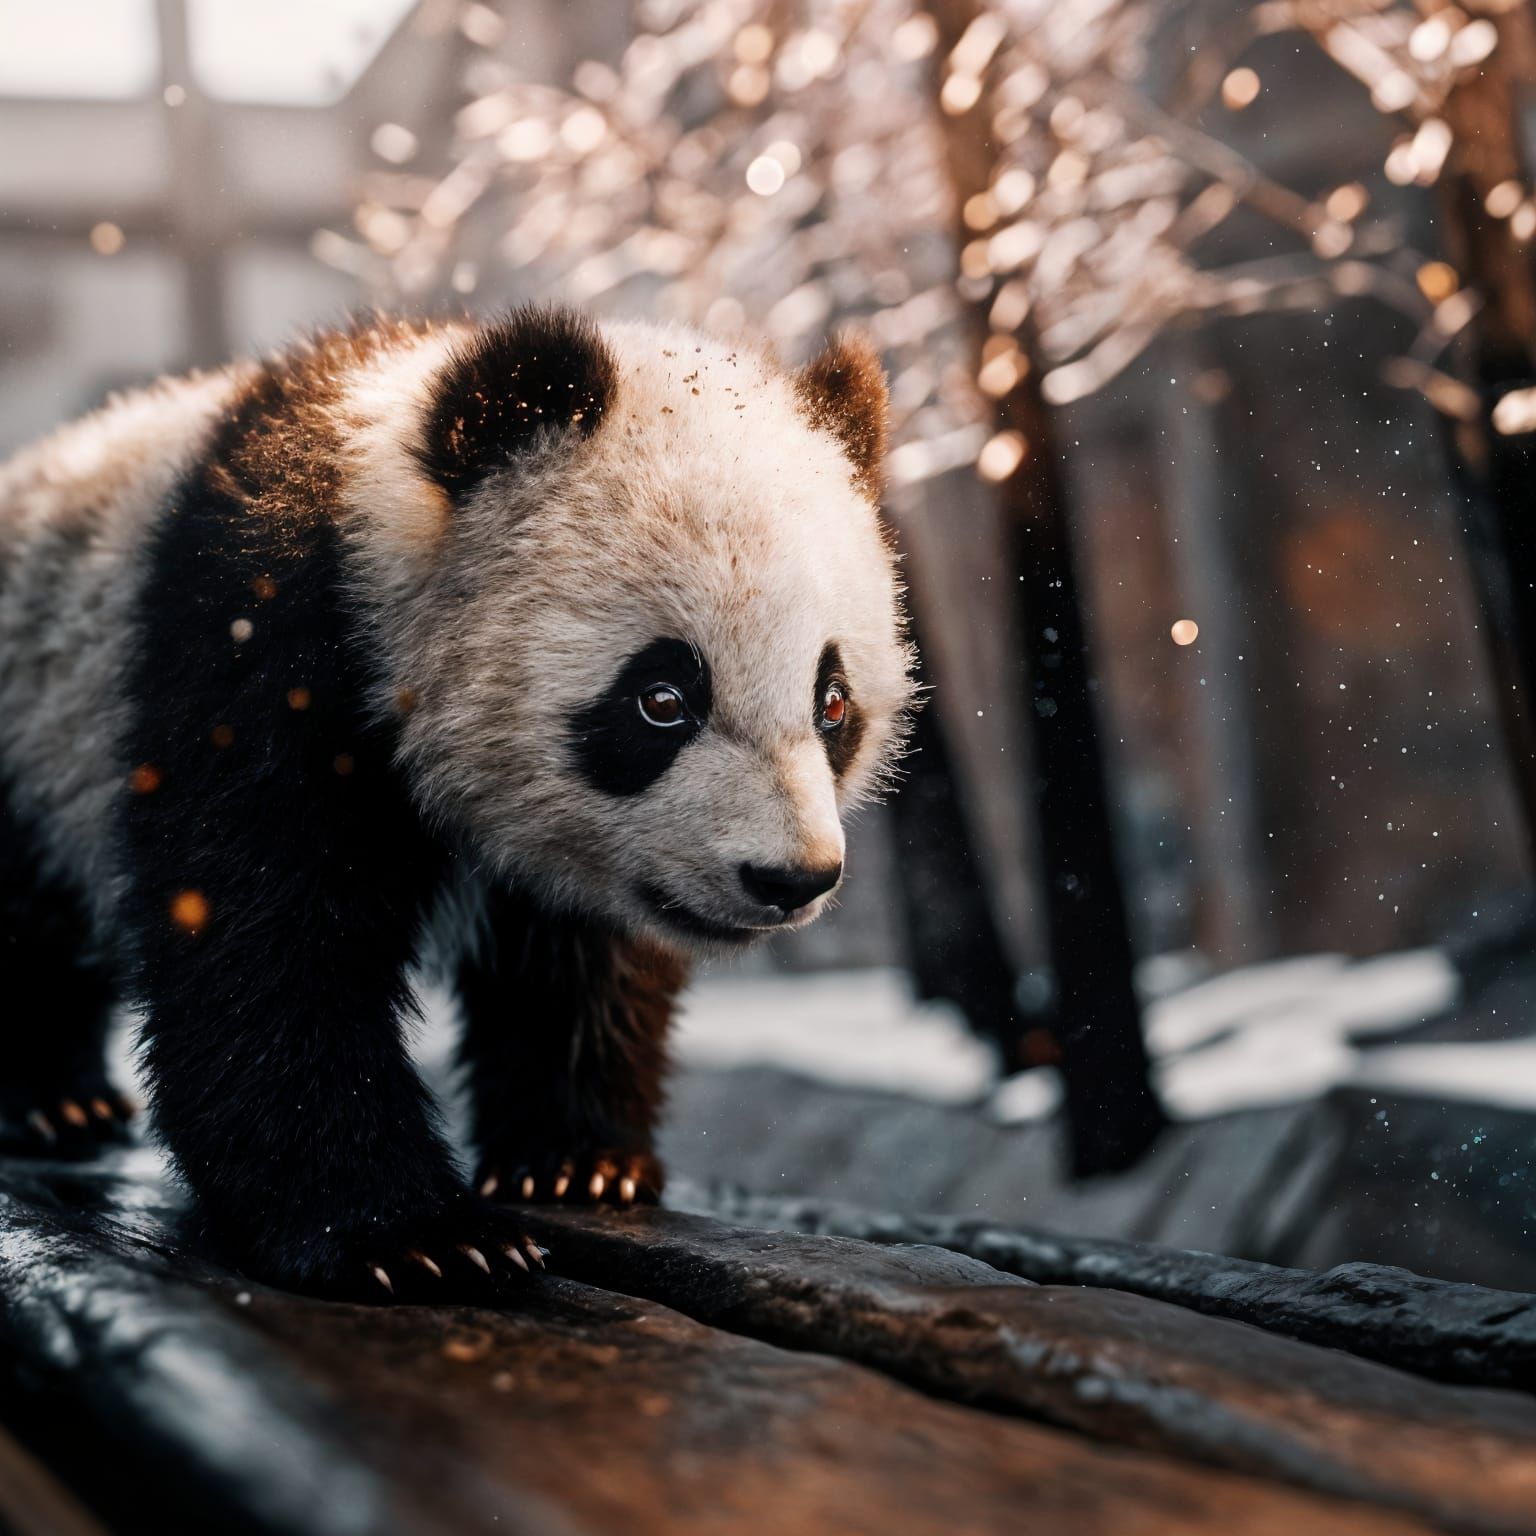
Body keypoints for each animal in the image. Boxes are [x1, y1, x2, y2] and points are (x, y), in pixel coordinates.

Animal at [0, 307, 914, 1298]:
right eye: (663, 698)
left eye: (833, 702)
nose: (791, 878)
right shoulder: (256, 650)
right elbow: (261, 939)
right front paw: (411, 1236)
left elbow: (581, 959)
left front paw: (576, 1162)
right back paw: (53, 1106)